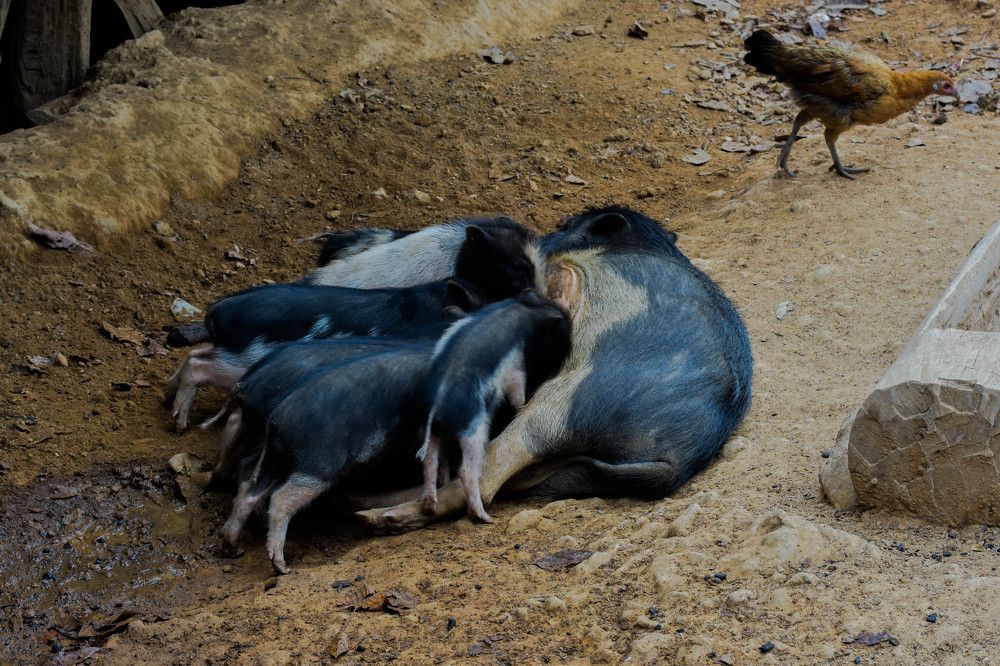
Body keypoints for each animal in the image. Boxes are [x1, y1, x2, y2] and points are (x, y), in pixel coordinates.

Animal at [220, 346, 433, 573]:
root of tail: (275, 419)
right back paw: (281, 567)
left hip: (274, 461)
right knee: (282, 498)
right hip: (317, 464)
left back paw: (232, 548)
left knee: (249, 486)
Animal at [418, 290, 571, 522]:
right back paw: (484, 517)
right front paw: (522, 406)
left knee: (430, 462)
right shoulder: (515, 365)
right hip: (474, 430)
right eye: (563, 326)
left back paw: (429, 507)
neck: (525, 312)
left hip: (434, 435)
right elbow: (517, 389)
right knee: (466, 470)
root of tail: (441, 414)